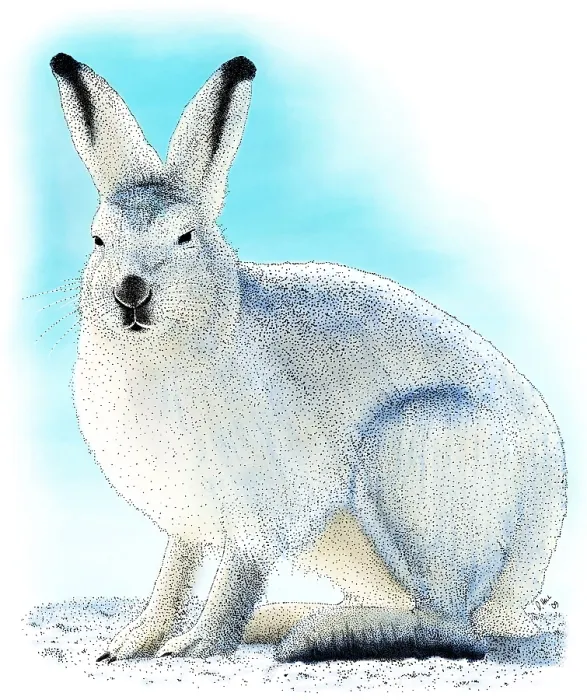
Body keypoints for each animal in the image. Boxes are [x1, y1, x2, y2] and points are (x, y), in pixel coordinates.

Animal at [50, 51, 566, 663]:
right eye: (98, 239)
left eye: (185, 237)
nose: (131, 292)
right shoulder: (188, 519)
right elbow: (172, 579)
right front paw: (129, 644)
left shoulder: (258, 512)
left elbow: (235, 580)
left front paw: (197, 645)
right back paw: (294, 620)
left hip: (414, 461)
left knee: (451, 622)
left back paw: (321, 633)